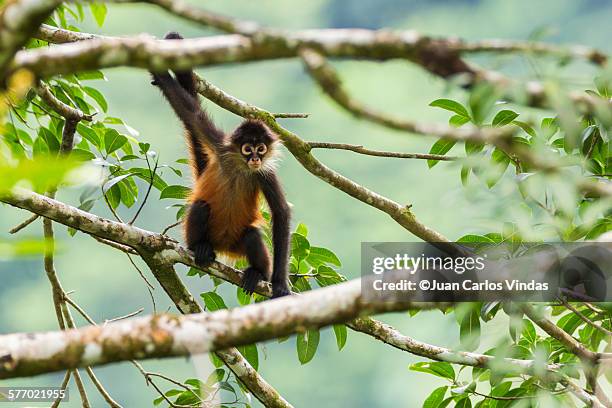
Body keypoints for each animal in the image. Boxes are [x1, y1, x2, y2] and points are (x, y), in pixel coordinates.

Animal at [149, 31, 290, 298]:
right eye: (247, 148)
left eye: (261, 148)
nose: (255, 158)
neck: (241, 167)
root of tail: (223, 245)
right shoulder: (220, 145)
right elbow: (191, 113)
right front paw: (159, 73)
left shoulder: (265, 173)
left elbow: (281, 213)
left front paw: (279, 284)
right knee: (200, 206)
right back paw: (200, 248)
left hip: (238, 243)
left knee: (252, 234)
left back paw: (258, 272)